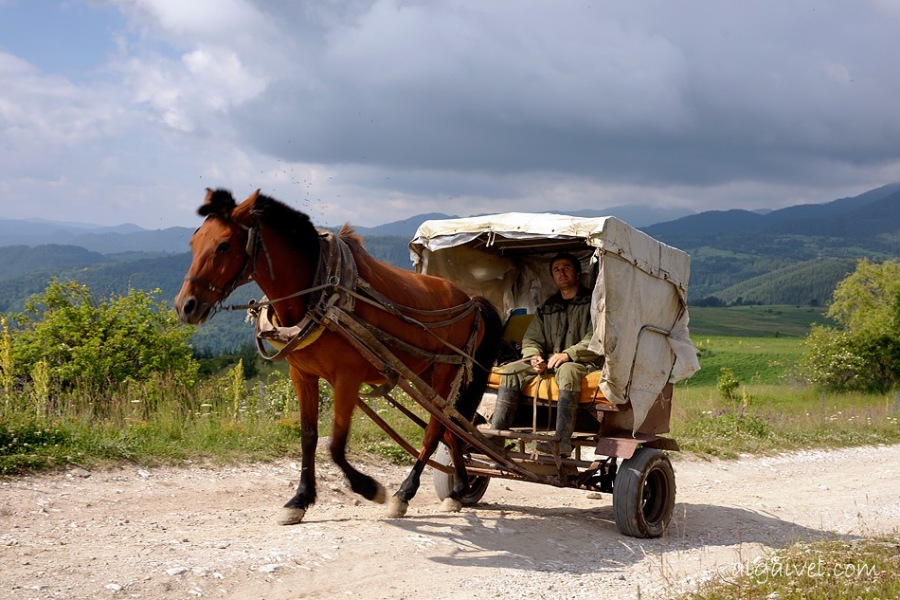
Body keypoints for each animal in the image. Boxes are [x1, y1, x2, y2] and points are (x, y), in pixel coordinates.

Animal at [172, 189, 502, 524]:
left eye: (224, 245)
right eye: (194, 242)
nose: (185, 306)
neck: (319, 292)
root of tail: (471, 299)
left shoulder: (347, 378)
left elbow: (336, 445)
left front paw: (369, 488)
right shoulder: (302, 375)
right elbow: (309, 437)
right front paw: (299, 499)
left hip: (446, 373)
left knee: (436, 430)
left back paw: (404, 493)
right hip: (426, 373)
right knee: (452, 427)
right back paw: (459, 488)